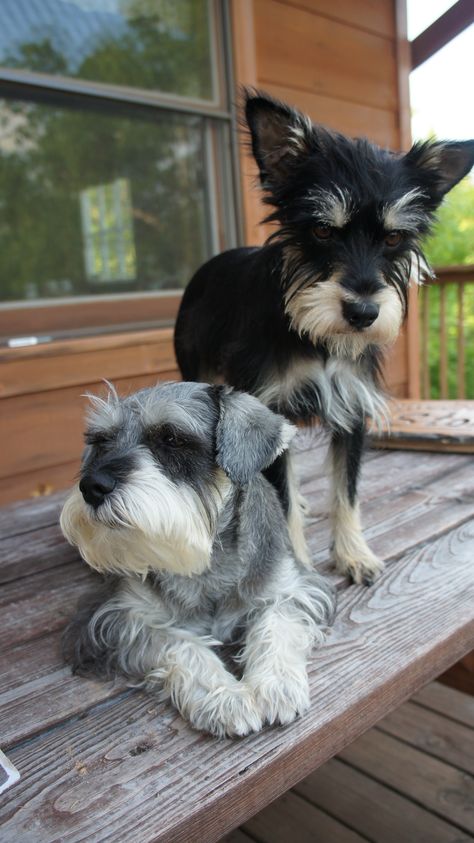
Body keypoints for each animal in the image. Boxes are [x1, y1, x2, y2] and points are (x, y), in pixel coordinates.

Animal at [175, 89, 474, 584]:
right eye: (321, 229)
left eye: (394, 239)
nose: (363, 313)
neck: (315, 338)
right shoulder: (268, 409)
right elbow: (279, 495)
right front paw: (294, 568)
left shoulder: (352, 413)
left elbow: (346, 491)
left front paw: (353, 553)